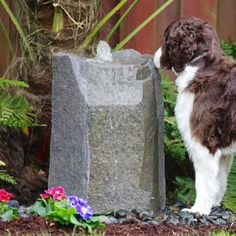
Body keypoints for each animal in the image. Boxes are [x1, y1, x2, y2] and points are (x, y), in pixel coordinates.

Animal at [155, 17, 236, 216]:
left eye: (166, 39)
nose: (154, 55)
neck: (201, 63)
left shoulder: (202, 141)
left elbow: (203, 181)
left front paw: (198, 209)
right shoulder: (223, 149)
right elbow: (220, 180)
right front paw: (213, 205)